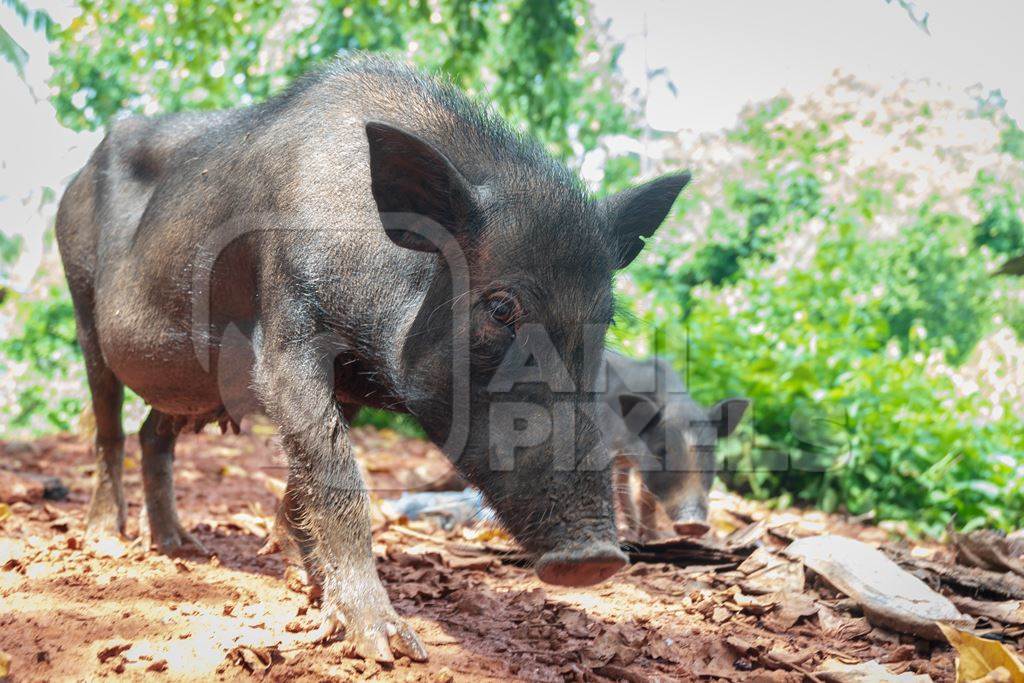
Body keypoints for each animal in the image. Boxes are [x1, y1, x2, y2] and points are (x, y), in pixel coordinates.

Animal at [56, 56, 692, 663]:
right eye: (502, 307)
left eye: (605, 317)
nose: (599, 556)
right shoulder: (286, 339)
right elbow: (336, 473)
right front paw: (388, 645)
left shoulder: (353, 383)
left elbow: (305, 477)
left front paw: (302, 581)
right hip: (81, 297)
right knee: (109, 425)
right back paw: (108, 540)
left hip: (185, 383)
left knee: (152, 434)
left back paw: (179, 545)